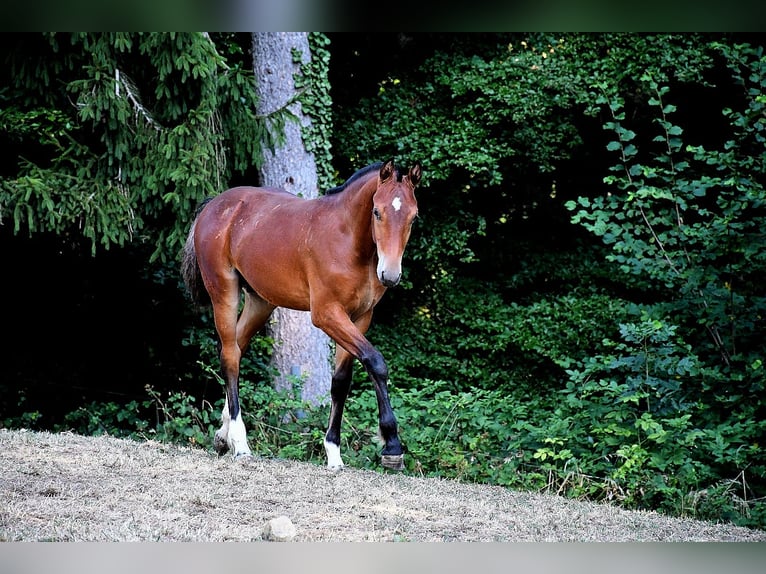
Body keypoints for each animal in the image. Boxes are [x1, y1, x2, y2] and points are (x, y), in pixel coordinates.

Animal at [181, 159, 421, 471]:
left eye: (413, 218)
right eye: (377, 212)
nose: (390, 275)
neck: (348, 240)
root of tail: (214, 205)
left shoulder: (360, 318)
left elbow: (341, 382)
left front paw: (333, 453)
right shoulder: (326, 314)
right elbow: (376, 362)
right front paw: (392, 446)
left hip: (260, 302)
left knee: (233, 349)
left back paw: (224, 436)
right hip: (224, 293)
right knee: (231, 357)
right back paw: (240, 443)